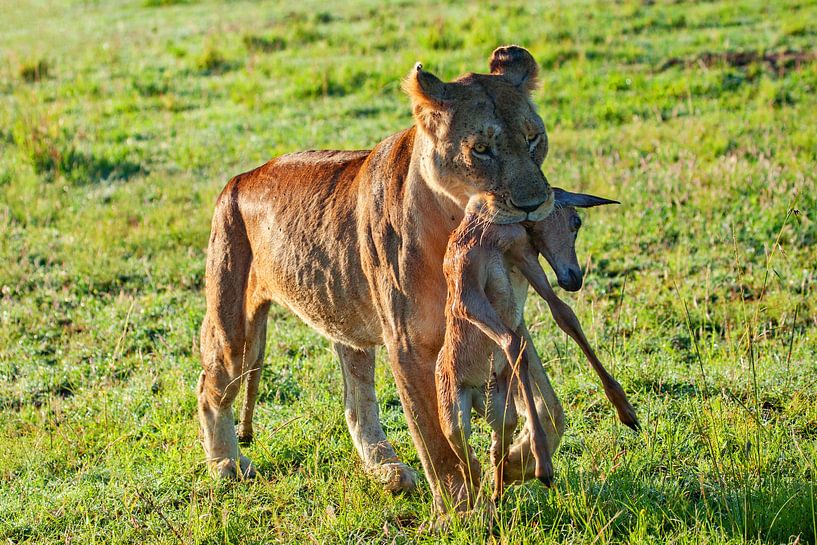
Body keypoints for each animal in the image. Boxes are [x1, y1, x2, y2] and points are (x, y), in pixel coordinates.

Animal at [196, 45, 565, 511]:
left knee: (356, 405)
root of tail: (239, 179)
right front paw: (461, 511)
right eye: (481, 149)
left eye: (534, 138)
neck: (453, 223)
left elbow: (551, 411)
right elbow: (438, 442)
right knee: (209, 387)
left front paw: (516, 463)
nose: (534, 204)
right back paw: (227, 464)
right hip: (236, 331)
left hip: (344, 323)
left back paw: (387, 471)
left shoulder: (507, 323)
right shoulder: (409, 346)